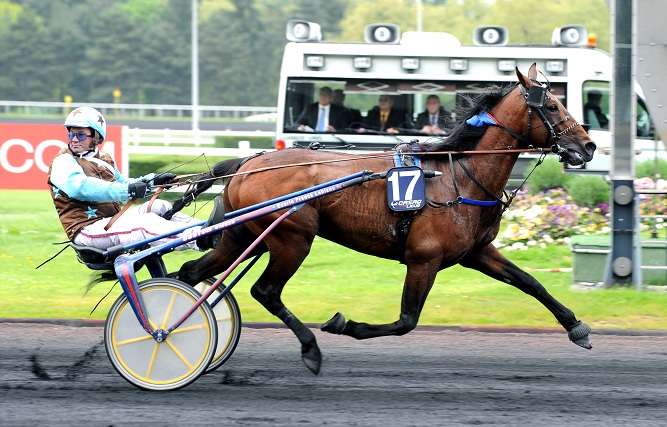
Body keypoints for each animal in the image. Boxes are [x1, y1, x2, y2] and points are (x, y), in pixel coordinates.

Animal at [171, 63, 596, 374]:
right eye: (553, 106)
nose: (588, 145)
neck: (458, 177)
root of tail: (247, 163)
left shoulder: (476, 252)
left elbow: (530, 282)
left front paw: (577, 327)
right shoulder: (424, 259)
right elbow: (406, 320)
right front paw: (345, 325)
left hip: (242, 236)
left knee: (191, 273)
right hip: (292, 238)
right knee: (265, 291)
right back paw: (309, 349)